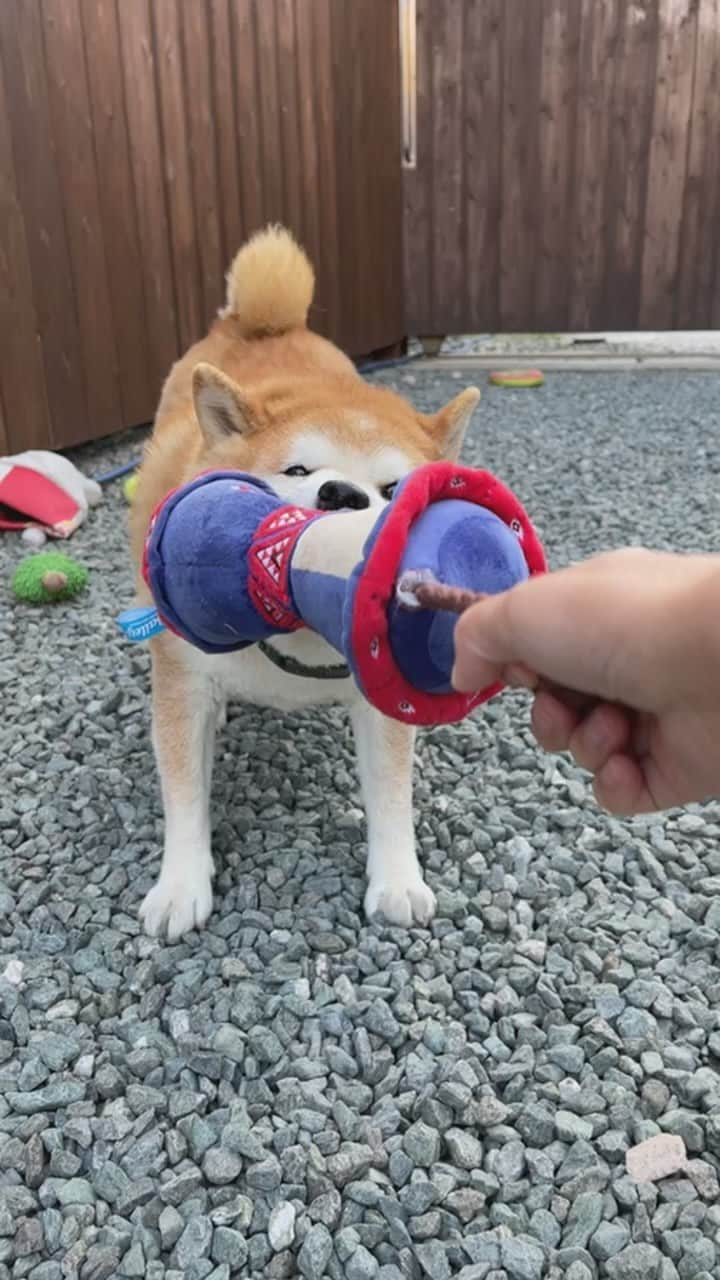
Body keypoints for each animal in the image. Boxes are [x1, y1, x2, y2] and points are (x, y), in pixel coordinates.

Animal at [130, 225, 476, 936]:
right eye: (296, 470)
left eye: (394, 489)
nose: (342, 494)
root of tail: (264, 322)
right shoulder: (181, 682)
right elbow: (183, 792)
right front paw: (180, 886)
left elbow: (391, 793)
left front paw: (398, 878)